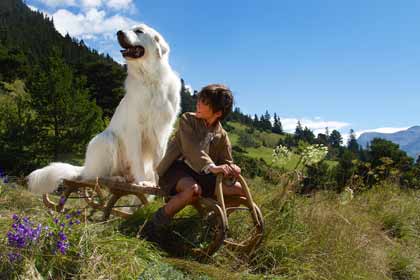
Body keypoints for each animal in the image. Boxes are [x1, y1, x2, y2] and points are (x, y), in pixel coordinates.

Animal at [27, 24, 181, 194]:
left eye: (139, 31)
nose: (119, 32)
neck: (150, 80)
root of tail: (85, 167)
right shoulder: (135, 130)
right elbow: (138, 160)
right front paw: (142, 182)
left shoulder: (163, 131)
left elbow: (160, 161)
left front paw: (157, 184)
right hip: (106, 139)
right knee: (97, 177)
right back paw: (117, 178)